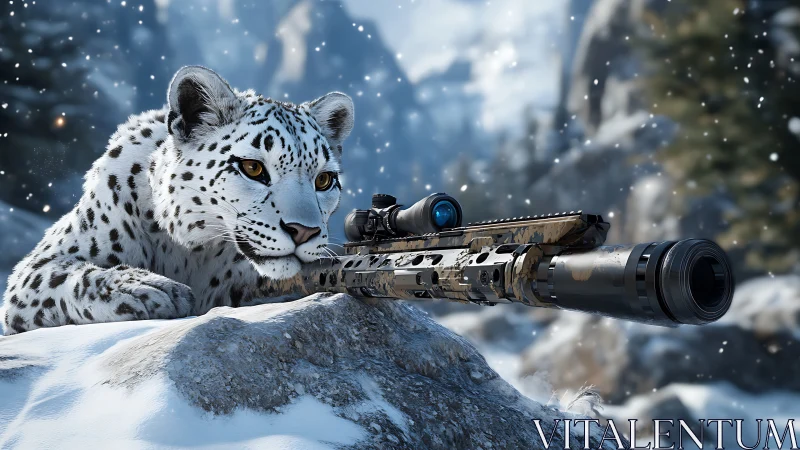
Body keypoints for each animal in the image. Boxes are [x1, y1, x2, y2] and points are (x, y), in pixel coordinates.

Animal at [0, 66, 354, 335]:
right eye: (253, 168)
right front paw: (150, 289)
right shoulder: (38, 266)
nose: (304, 231)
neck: (189, 249)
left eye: (324, 180)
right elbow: (71, 276)